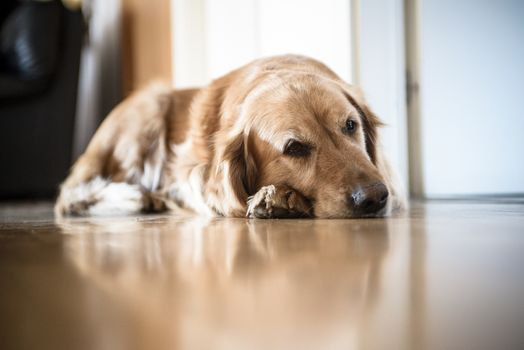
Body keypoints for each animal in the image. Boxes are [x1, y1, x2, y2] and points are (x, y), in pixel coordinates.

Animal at [55, 54, 406, 219]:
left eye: (350, 125)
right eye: (294, 148)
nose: (375, 197)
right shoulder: (191, 175)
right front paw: (278, 198)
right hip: (148, 108)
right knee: (69, 197)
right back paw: (136, 196)